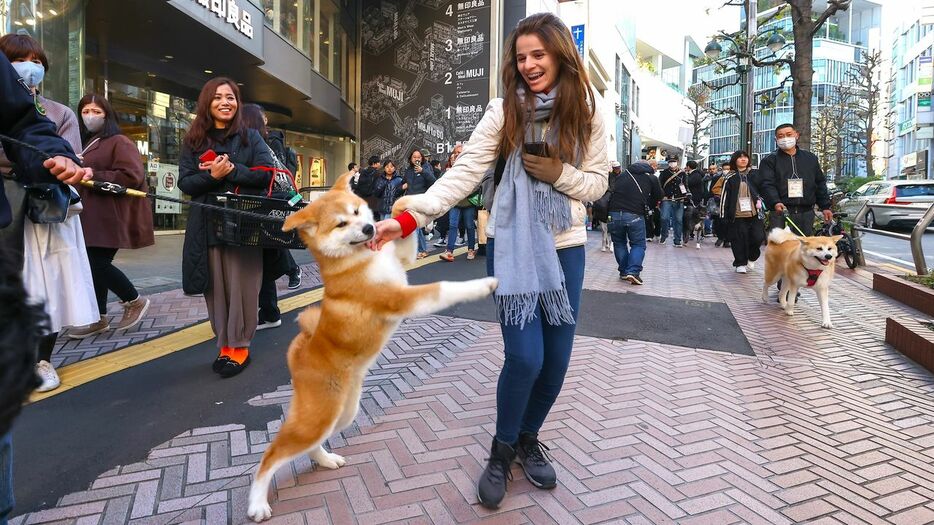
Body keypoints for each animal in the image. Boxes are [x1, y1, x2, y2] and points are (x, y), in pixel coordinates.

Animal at [247, 173, 498, 520]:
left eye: (357, 211)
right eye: (341, 224)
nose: (369, 229)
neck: (357, 260)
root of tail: (300, 349)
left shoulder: (402, 262)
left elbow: (402, 208)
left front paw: (416, 203)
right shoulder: (399, 299)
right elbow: (444, 288)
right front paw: (482, 285)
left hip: (342, 413)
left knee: (309, 446)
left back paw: (326, 460)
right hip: (318, 417)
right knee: (270, 455)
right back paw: (257, 503)